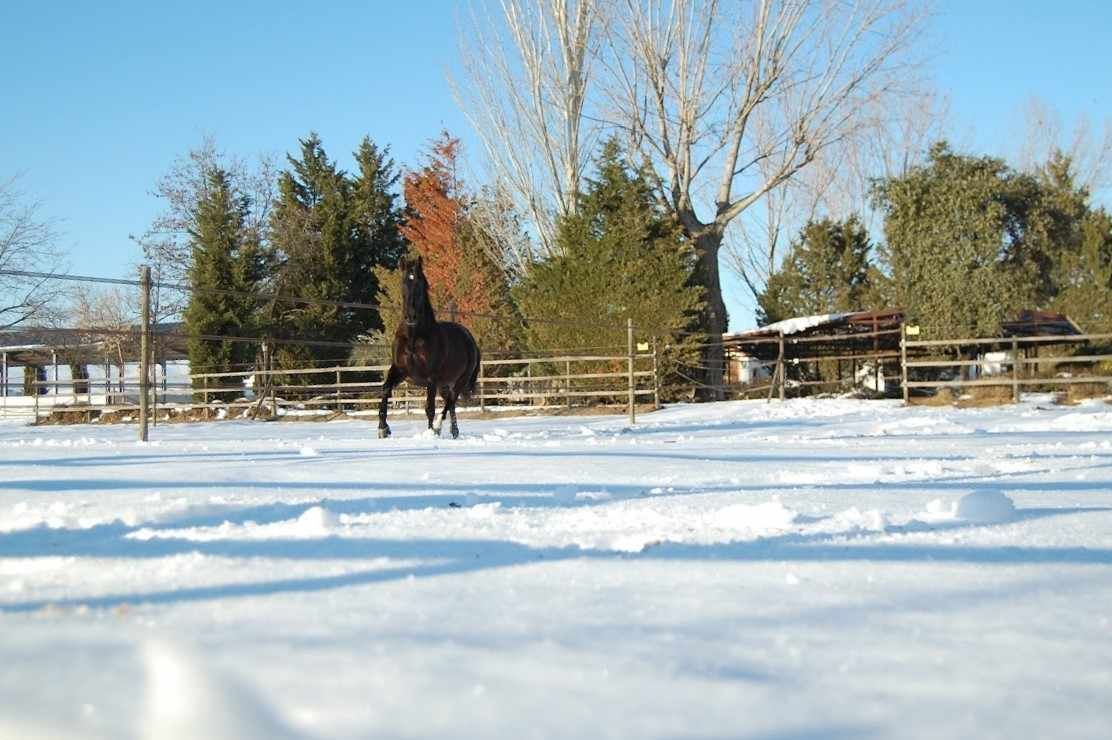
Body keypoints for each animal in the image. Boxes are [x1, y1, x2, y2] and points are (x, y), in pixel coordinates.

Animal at [378, 255, 481, 439]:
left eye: (421, 284)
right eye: (403, 283)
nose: (411, 316)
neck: (413, 337)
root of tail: (470, 340)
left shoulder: (431, 378)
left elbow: (429, 408)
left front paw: (430, 432)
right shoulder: (399, 370)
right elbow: (385, 390)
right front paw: (383, 428)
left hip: (460, 380)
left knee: (451, 400)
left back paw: (440, 427)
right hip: (444, 384)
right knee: (450, 402)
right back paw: (454, 431)